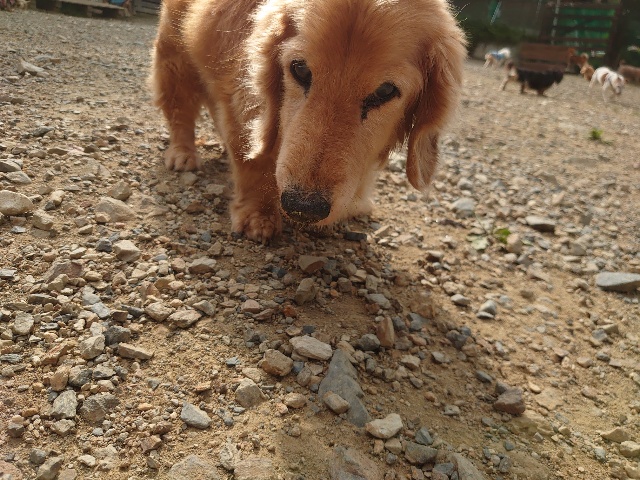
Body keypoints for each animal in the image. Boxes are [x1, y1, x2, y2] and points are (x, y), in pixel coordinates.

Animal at [149, 0, 466, 243]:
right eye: (299, 69)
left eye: (386, 91)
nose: (303, 207)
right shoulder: (240, 96)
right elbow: (253, 159)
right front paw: (257, 213)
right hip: (175, 62)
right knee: (179, 113)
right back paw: (182, 153)